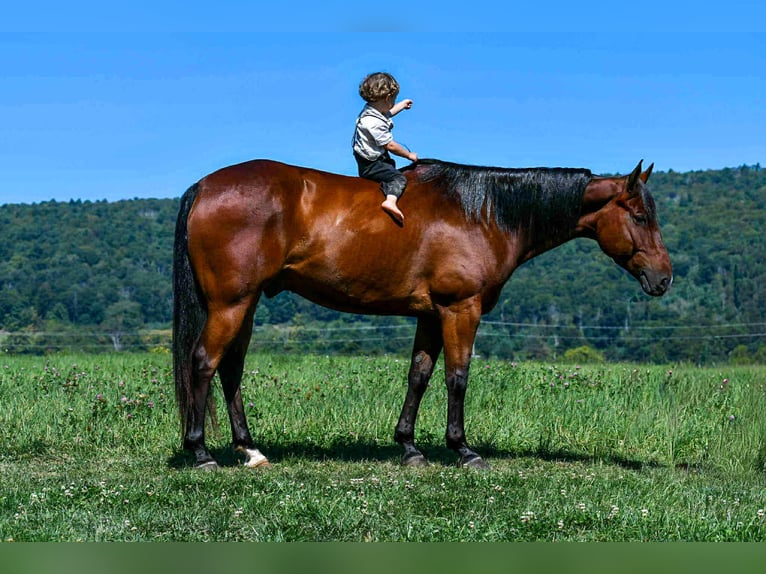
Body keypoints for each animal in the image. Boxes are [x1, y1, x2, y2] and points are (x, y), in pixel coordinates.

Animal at [173, 158, 672, 469]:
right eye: (640, 217)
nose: (664, 278)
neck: (484, 212)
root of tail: (205, 187)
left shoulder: (431, 316)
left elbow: (419, 375)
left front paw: (409, 447)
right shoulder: (460, 310)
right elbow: (457, 377)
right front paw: (463, 449)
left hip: (247, 303)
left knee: (231, 369)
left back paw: (250, 450)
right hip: (230, 304)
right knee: (203, 363)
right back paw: (201, 453)